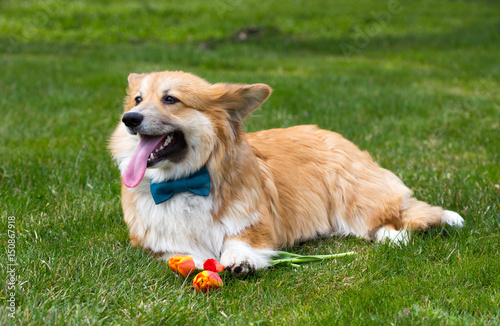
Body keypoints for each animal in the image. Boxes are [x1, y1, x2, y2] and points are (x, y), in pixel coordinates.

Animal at [110, 70, 464, 276]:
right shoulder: (156, 240)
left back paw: (400, 235)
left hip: (355, 201)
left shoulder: (255, 225)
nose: (130, 118)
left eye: (170, 99)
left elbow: (239, 241)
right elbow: (180, 250)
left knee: (396, 217)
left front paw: (240, 261)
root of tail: (336, 136)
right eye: (138, 99)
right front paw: (194, 259)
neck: (185, 182)